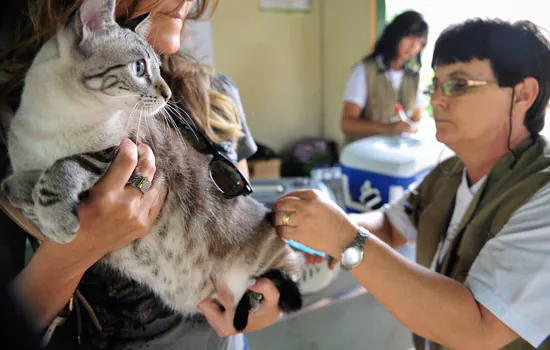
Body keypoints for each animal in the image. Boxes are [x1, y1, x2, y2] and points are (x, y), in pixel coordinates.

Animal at [1, 0, 302, 330]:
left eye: (157, 69)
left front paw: (57, 217)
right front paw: (31, 198)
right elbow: (14, 189)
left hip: (270, 265)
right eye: (139, 68)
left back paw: (258, 295)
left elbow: (66, 165)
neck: (59, 121)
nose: (167, 94)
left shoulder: (124, 150)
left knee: (288, 279)